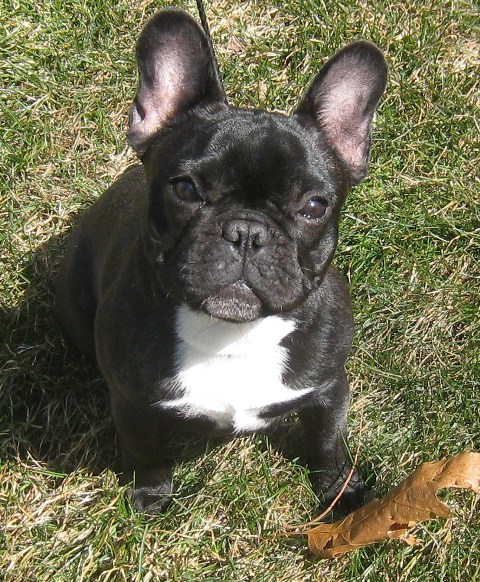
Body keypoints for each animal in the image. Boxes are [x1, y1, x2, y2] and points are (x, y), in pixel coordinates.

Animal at [55, 8, 387, 515]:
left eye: (314, 206)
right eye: (186, 189)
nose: (247, 231)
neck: (232, 336)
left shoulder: (329, 388)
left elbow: (327, 441)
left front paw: (339, 491)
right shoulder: (132, 404)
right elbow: (144, 452)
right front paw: (151, 498)